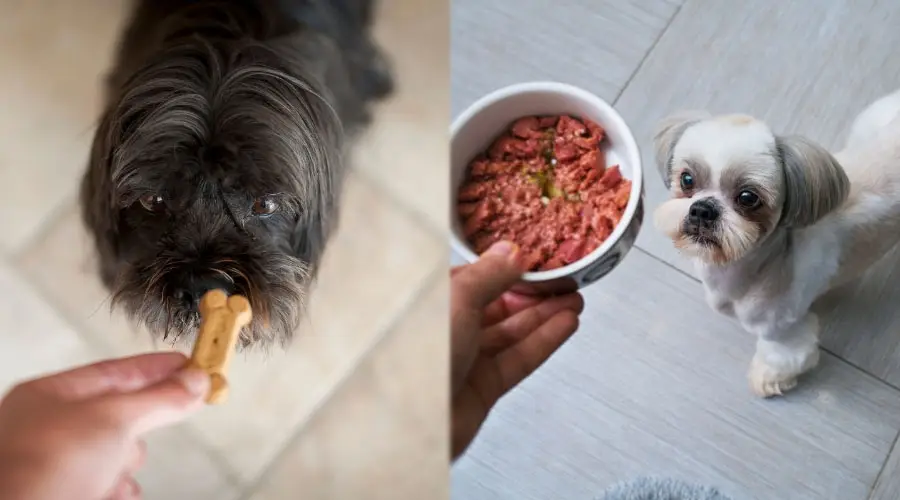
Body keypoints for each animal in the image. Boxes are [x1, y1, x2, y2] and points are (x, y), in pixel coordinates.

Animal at [652, 88, 900, 396]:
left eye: (748, 197)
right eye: (687, 179)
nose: (703, 209)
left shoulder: (784, 332)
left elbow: (781, 357)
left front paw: (767, 381)